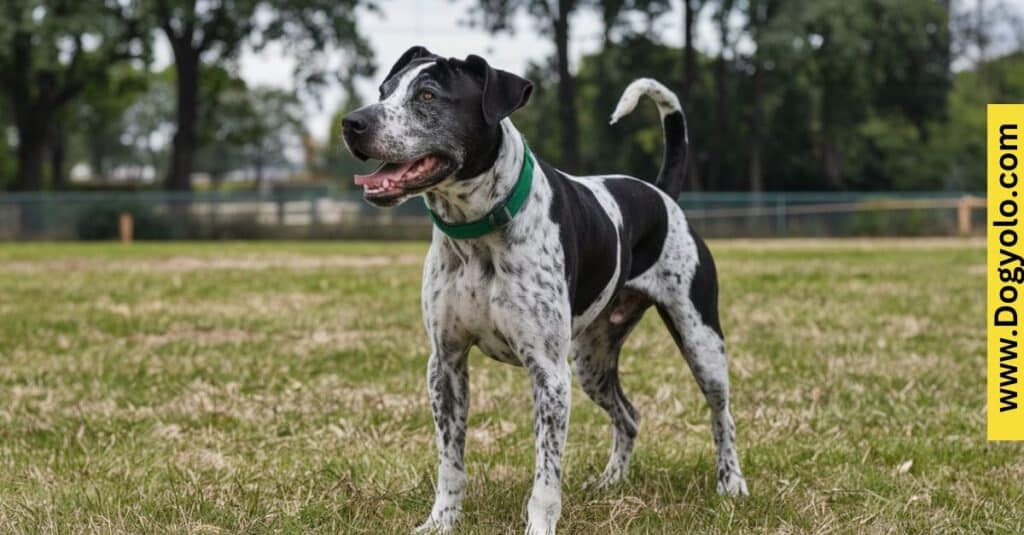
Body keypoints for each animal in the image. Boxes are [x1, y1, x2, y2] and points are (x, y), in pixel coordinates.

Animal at [339, 46, 749, 532]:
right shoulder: (446, 364)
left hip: (700, 340)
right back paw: (610, 481)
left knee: (721, 415)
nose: (352, 122)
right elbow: (450, 463)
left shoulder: (549, 374)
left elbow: (546, 475)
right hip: (591, 361)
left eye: (428, 95)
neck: (476, 233)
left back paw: (731, 483)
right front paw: (441, 520)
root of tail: (662, 194)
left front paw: (539, 524)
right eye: (384, 91)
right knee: (629, 417)